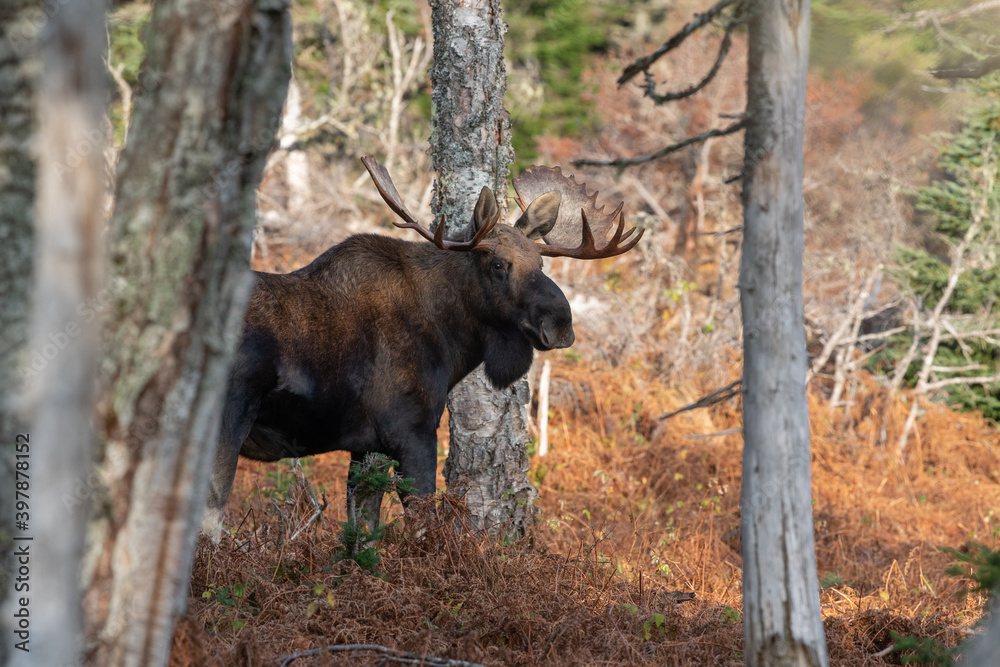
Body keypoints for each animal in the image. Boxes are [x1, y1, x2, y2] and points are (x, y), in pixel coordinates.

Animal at [199, 158, 644, 544]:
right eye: (498, 264)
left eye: (541, 263)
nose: (561, 324)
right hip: (227, 418)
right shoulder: (413, 432)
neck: (450, 339)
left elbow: (362, 532)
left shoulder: (368, 446)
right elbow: (422, 526)